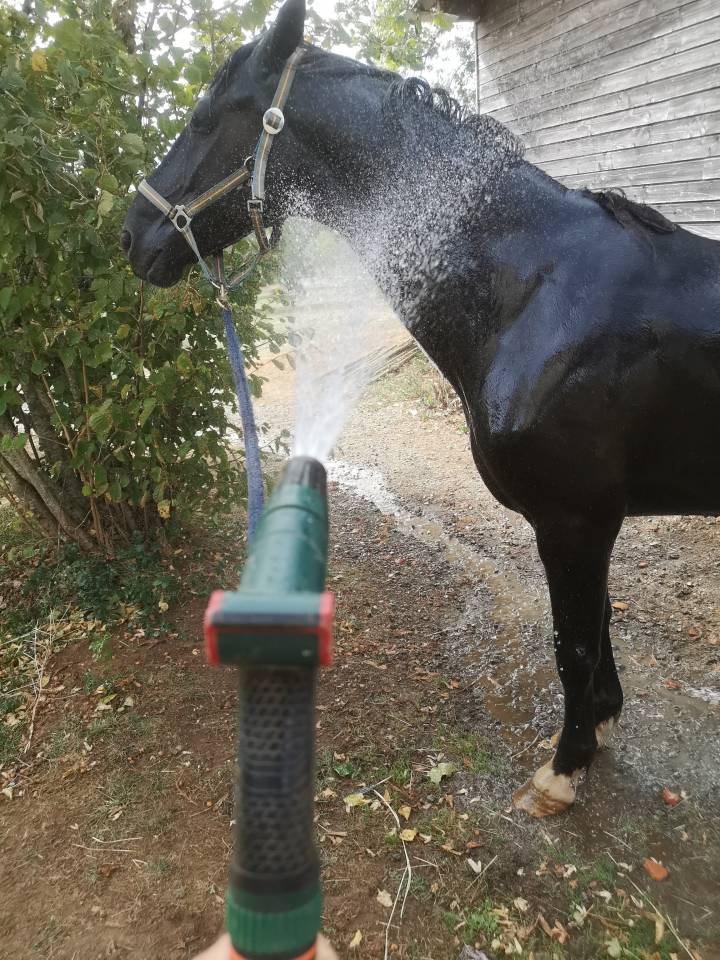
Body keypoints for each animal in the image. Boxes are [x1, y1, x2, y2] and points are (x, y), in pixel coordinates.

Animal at [121, 0, 720, 817]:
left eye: (205, 117)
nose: (131, 234)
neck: (540, 289)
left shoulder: (575, 519)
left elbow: (573, 641)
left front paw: (563, 769)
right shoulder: (593, 520)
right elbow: (595, 626)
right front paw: (600, 722)